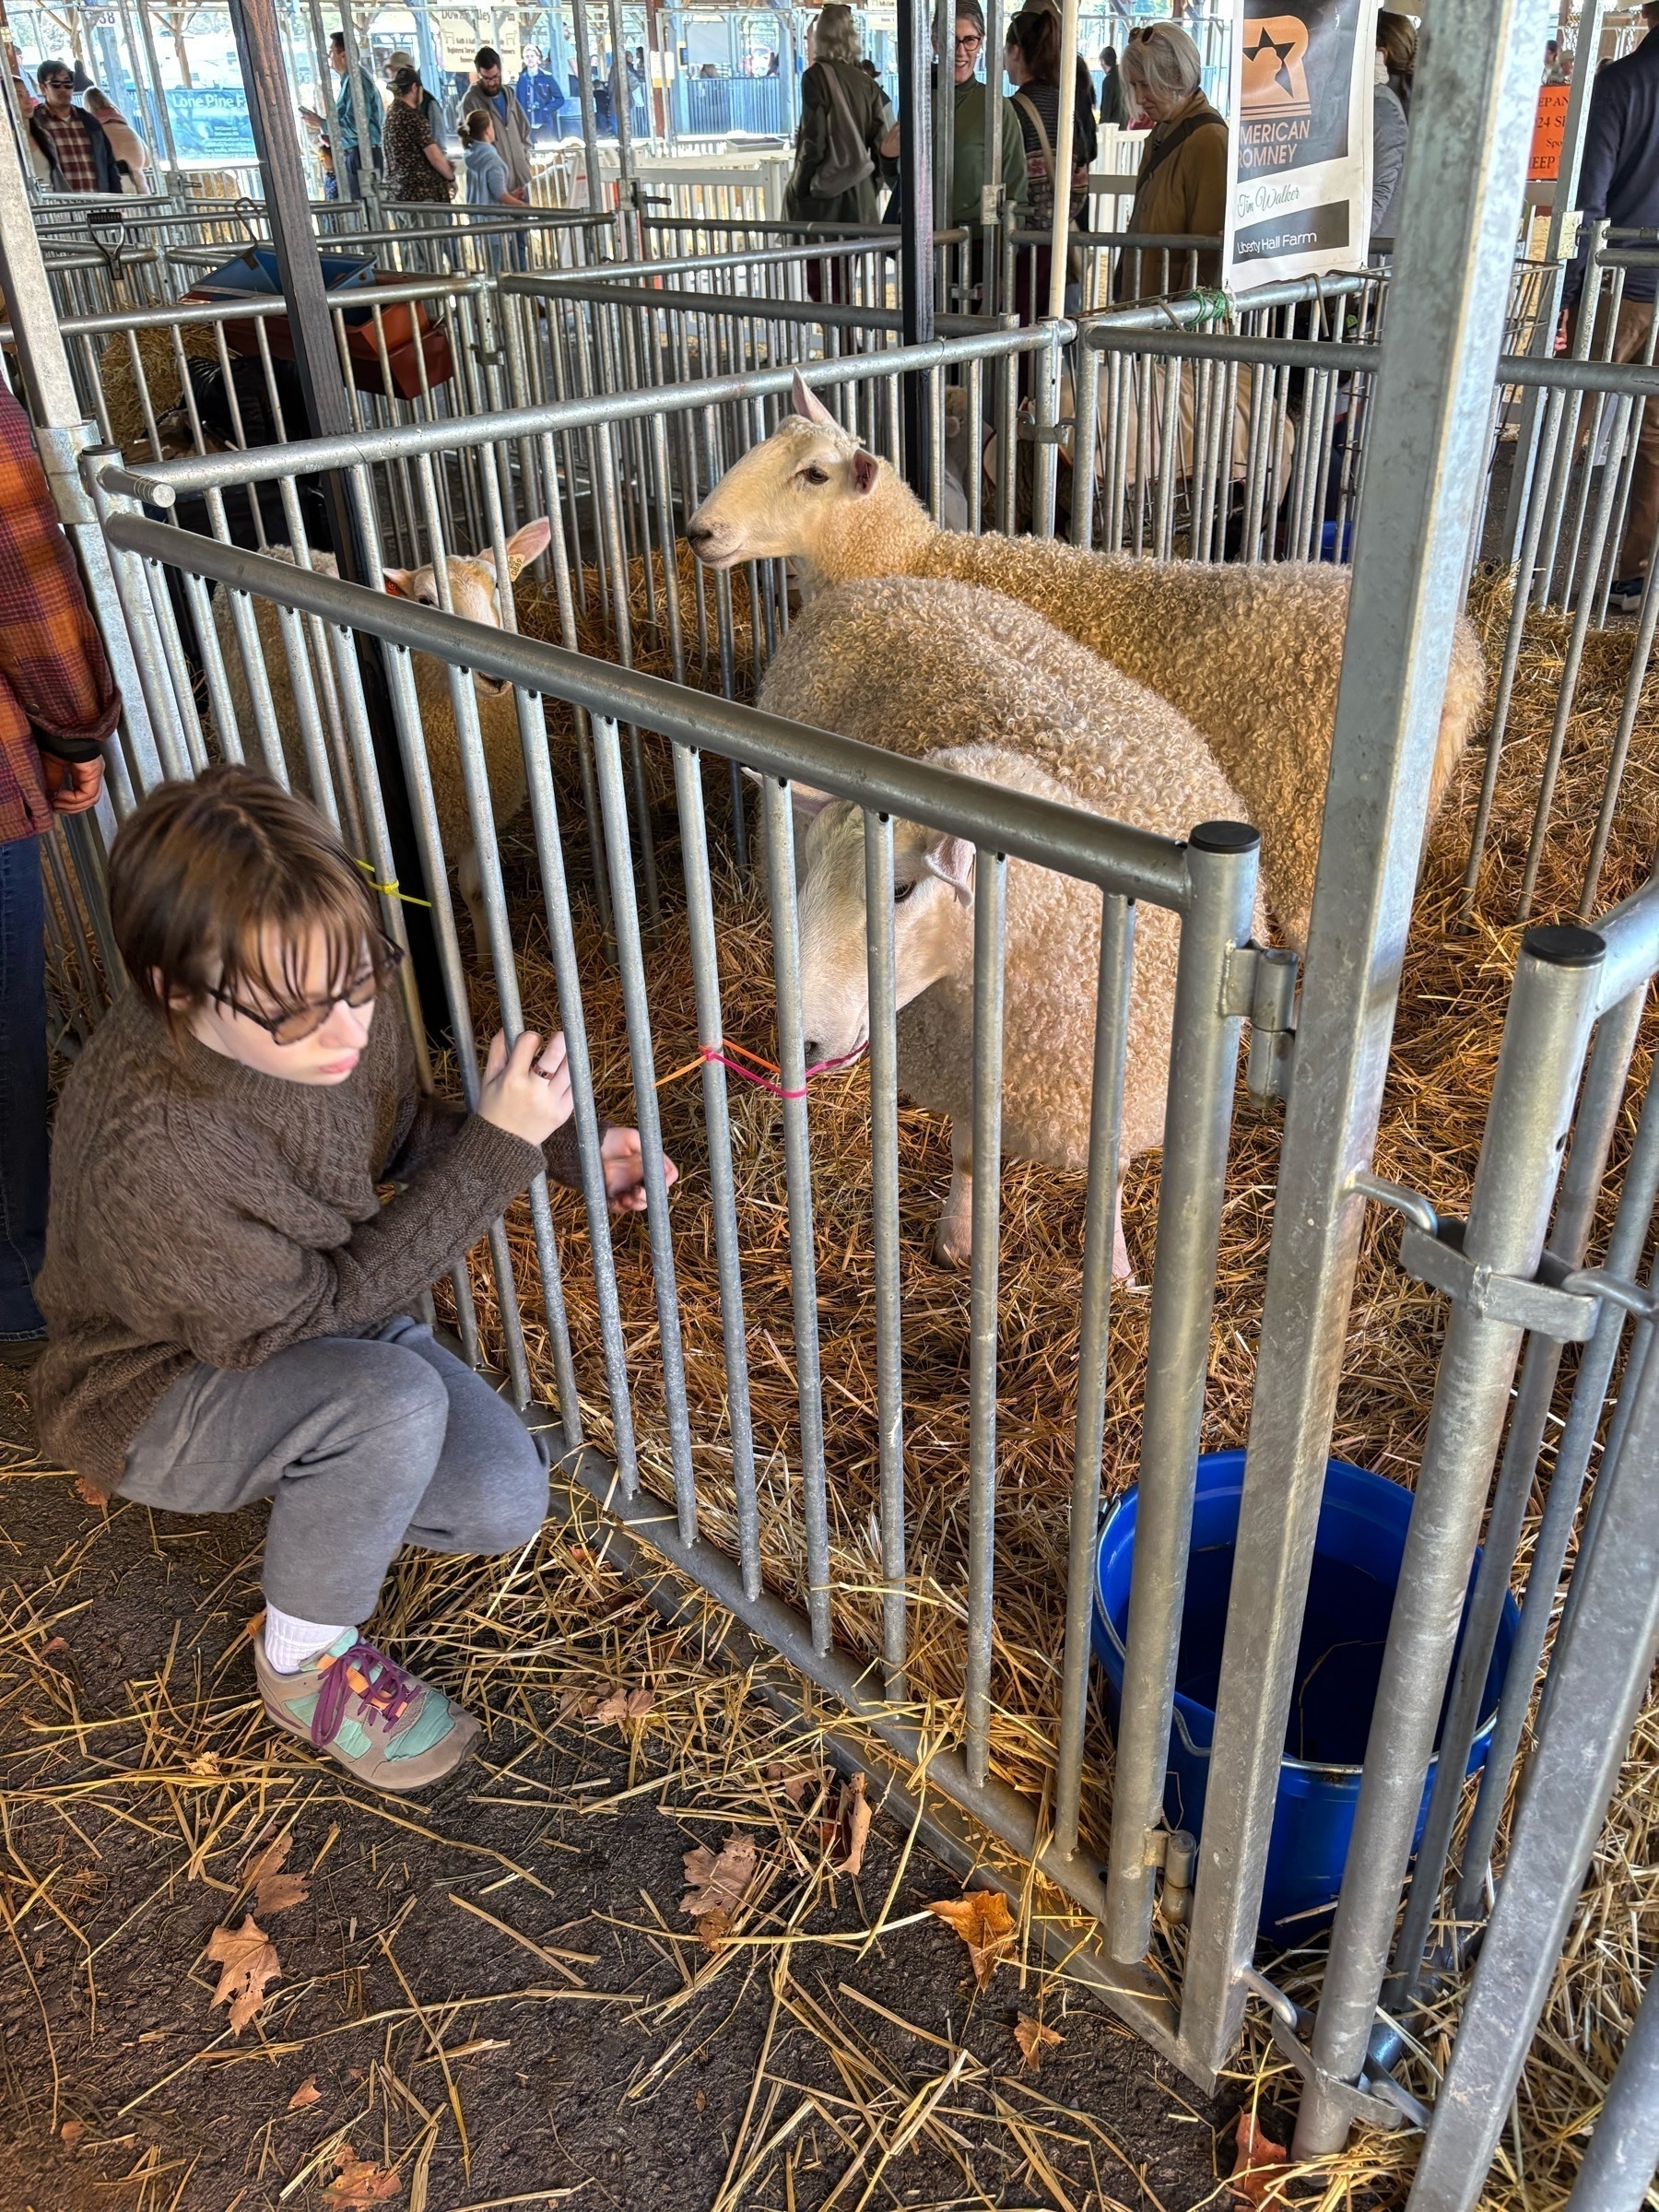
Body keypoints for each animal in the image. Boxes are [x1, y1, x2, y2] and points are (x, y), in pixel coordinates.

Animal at [207, 531, 553, 964]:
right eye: (425, 601)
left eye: (495, 585)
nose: (494, 677)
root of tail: (268, 547)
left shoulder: (472, 815)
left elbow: (475, 892)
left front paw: (489, 962)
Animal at [765, 575, 1256, 1283]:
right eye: (806, 872)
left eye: (899, 890)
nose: (798, 1040)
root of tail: (879, 584)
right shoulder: (968, 1071)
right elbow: (970, 1156)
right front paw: (960, 1240)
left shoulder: (1125, 1092)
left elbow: (1109, 1179)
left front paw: (1114, 1270)